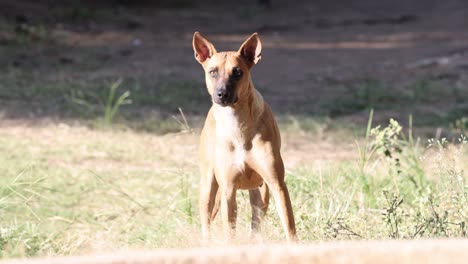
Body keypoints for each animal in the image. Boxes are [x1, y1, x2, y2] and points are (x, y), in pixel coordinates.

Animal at [193, 31, 296, 241]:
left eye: (237, 72)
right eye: (213, 72)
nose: (221, 94)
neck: (238, 127)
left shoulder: (277, 185)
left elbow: (289, 228)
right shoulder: (228, 189)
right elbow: (229, 232)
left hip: (262, 193)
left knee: (256, 222)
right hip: (208, 187)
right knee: (206, 223)